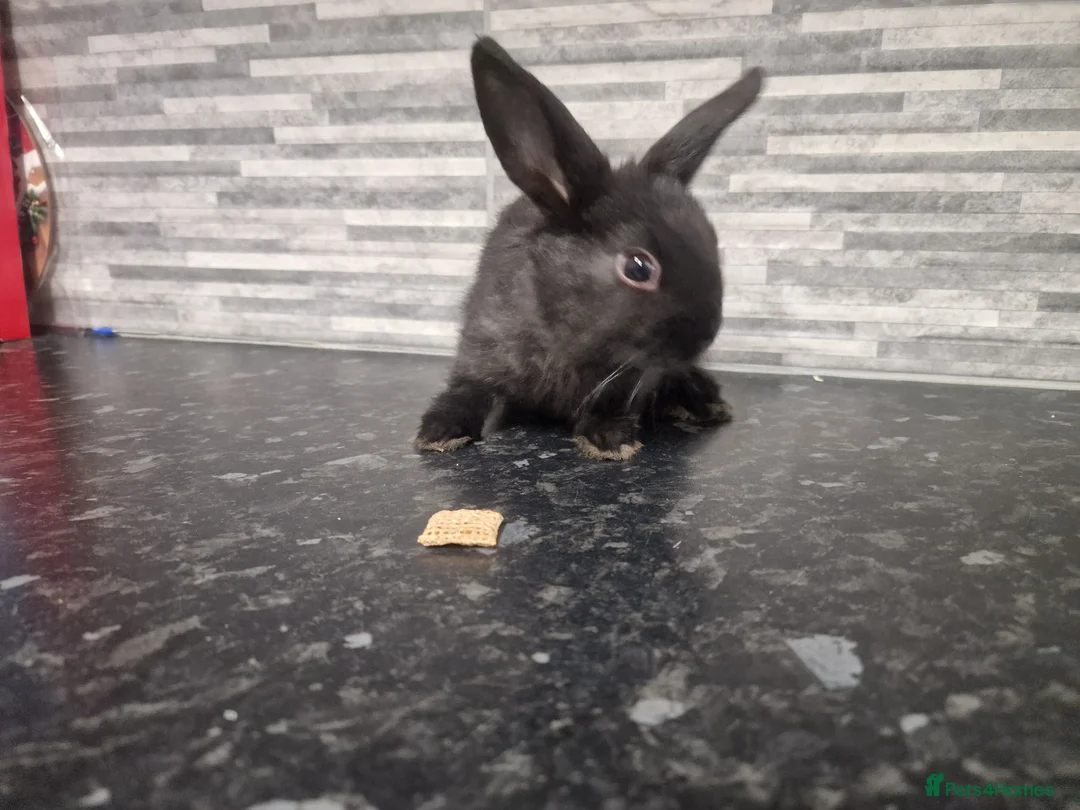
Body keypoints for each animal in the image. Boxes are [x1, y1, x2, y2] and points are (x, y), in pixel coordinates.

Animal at [415, 36, 764, 461]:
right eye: (638, 268)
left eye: (713, 243)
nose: (704, 337)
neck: (566, 338)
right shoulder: (481, 349)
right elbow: (468, 390)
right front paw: (438, 432)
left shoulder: (632, 378)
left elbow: (611, 402)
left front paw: (610, 439)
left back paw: (707, 402)